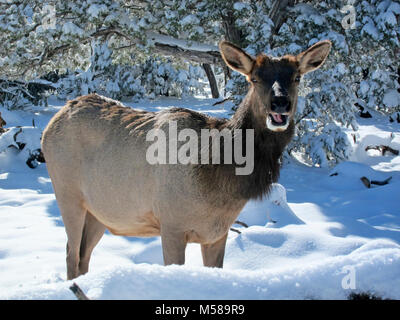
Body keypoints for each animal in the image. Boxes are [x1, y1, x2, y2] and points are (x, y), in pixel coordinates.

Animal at [41, 40, 332, 280]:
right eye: (255, 78)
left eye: (297, 77)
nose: (280, 103)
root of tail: (53, 121)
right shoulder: (171, 224)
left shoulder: (217, 233)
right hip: (67, 194)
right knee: (70, 254)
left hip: (100, 212)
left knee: (83, 256)